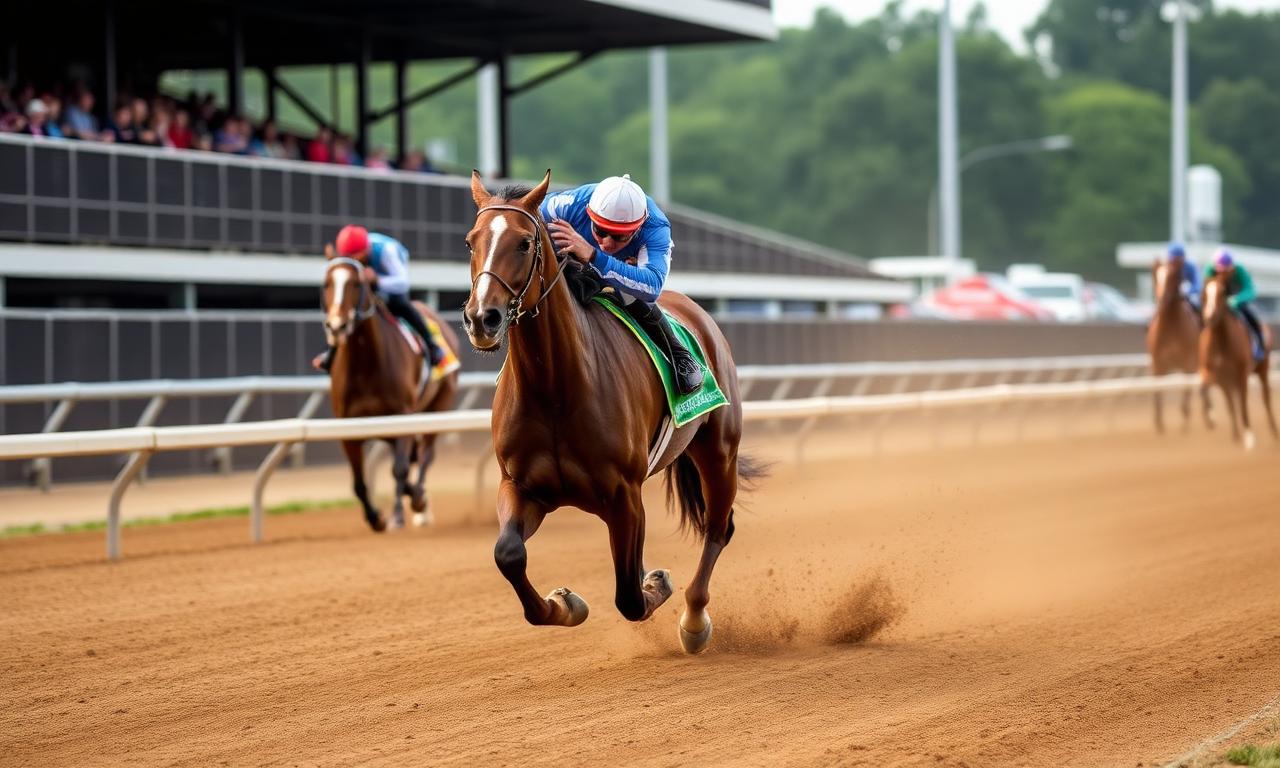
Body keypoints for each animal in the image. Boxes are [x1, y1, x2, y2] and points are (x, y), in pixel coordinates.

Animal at [321, 246, 461, 530]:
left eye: (356, 283)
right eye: (327, 283)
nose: (336, 326)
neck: (364, 365)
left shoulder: (402, 415)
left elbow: (399, 470)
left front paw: (399, 513)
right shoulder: (348, 426)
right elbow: (359, 482)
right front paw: (376, 518)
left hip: (439, 405)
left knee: (426, 455)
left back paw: (419, 500)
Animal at [461, 170, 764, 654]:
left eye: (525, 243)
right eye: (471, 242)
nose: (481, 319)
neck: (554, 389)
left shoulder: (624, 495)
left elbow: (630, 598)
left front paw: (655, 583)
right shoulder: (521, 485)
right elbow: (508, 555)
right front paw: (564, 603)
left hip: (719, 452)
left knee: (718, 528)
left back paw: (694, 622)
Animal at [1146, 259, 1208, 432]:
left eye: (1172, 277)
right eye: (1156, 276)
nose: (1161, 299)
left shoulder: (1189, 364)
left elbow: (1186, 393)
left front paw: (1184, 426)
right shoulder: (1158, 364)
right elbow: (1157, 391)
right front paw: (1159, 424)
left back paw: (1208, 417)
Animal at [1199, 271, 1277, 449]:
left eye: (1222, 293)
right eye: (1204, 293)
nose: (1210, 317)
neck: (1221, 342)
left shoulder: (1242, 374)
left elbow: (1242, 403)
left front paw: (1249, 437)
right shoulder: (1216, 376)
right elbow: (1215, 397)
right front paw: (1213, 421)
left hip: (1263, 368)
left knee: (1266, 397)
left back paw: (1274, 432)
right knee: (1230, 401)